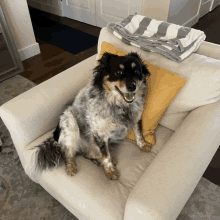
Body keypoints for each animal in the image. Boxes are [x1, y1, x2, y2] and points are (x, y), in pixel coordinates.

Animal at [34, 52, 151, 180]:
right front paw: (110, 170)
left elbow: (139, 134)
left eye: (137, 71)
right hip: (70, 124)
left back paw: (99, 160)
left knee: (88, 154)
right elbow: (105, 155)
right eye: (118, 72)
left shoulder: (137, 118)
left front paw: (143, 145)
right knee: (68, 152)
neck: (120, 106)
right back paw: (71, 167)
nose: (132, 86)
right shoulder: (100, 134)